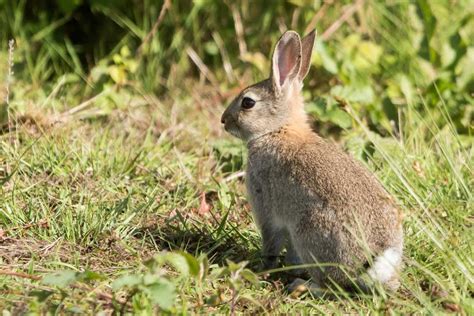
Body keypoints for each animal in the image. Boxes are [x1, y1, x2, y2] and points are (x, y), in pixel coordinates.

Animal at [220, 29, 402, 294]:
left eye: (248, 102)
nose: (224, 120)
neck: (277, 130)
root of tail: (377, 260)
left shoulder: (267, 208)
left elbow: (271, 244)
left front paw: (262, 269)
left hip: (309, 231)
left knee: (330, 284)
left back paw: (301, 286)